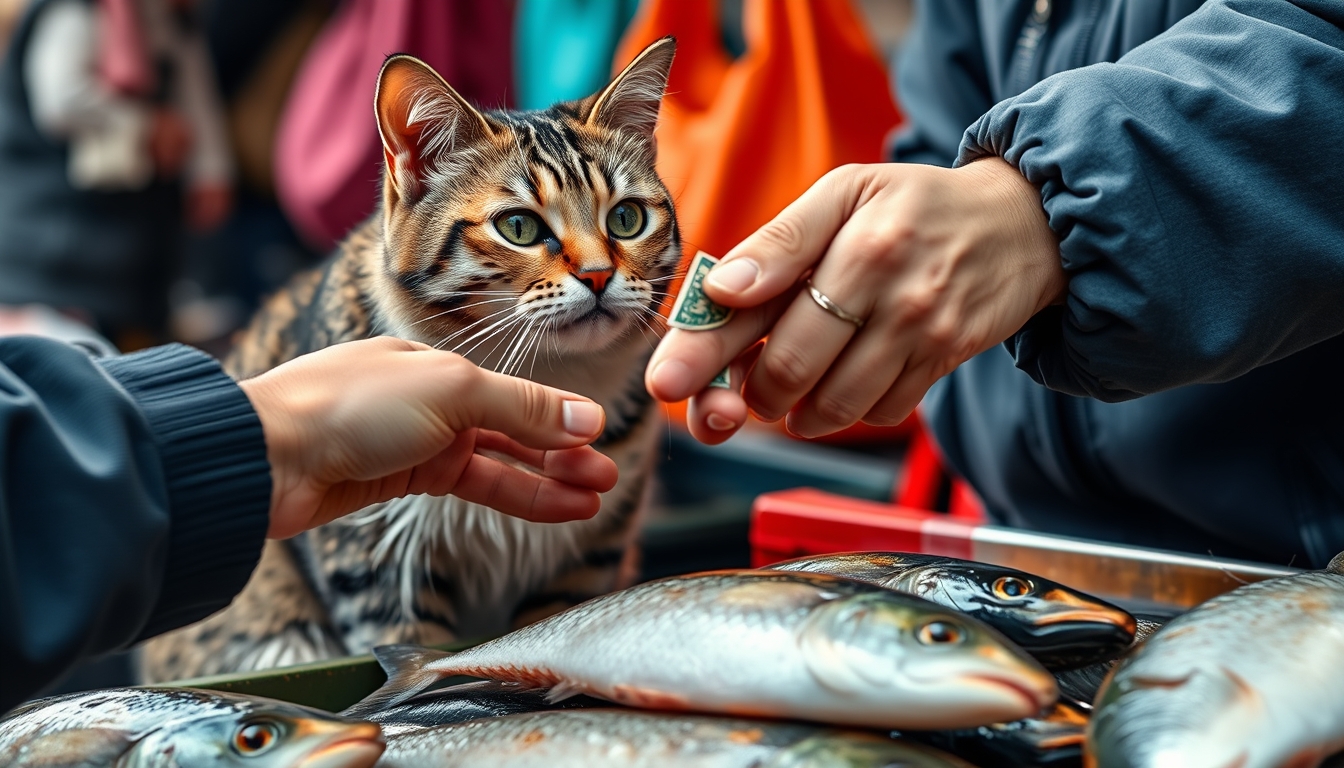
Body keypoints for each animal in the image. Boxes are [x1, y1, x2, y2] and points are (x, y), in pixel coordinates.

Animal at [141, 39, 682, 683]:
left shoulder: (591, 554)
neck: (551, 374)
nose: (599, 275)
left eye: (626, 218)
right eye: (518, 227)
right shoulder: (374, 566)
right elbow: (412, 638)